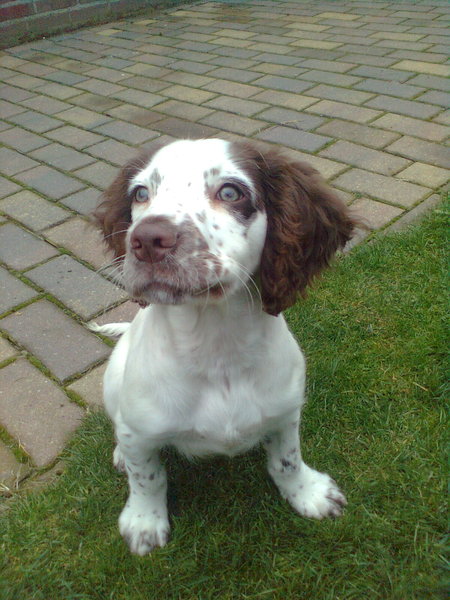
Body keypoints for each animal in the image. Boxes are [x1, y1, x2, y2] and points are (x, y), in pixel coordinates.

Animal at [92, 138, 358, 556]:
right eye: (141, 194)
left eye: (231, 192)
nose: (146, 240)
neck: (216, 346)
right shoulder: (141, 430)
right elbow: (147, 476)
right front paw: (144, 522)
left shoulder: (286, 411)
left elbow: (287, 460)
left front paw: (307, 493)